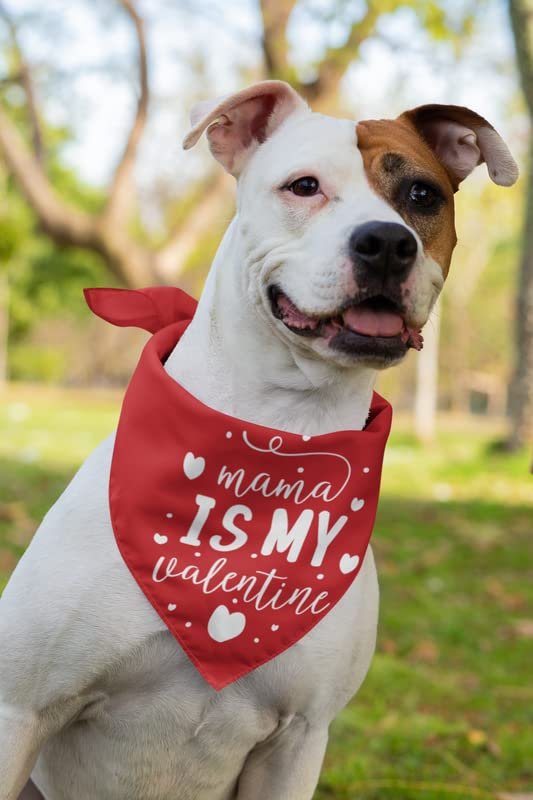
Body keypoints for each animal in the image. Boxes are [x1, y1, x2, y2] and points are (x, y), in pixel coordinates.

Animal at [0, 81, 516, 800]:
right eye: (303, 186)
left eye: (421, 194)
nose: (388, 242)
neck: (277, 430)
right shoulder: (21, 709)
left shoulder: (298, 739)